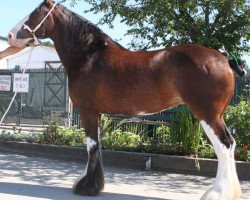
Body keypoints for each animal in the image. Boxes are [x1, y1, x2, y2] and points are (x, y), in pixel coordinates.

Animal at [8, 0, 242, 199]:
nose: (10, 35)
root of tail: (223, 59)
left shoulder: (87, 111)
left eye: (35, 13)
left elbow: (91, 147)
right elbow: (97, 146)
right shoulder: (97, 113)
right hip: (217, 115)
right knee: (231, 145)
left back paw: (217, 193)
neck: (89, 57)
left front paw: (86, 187)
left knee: (224, 146)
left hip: (208, 114)